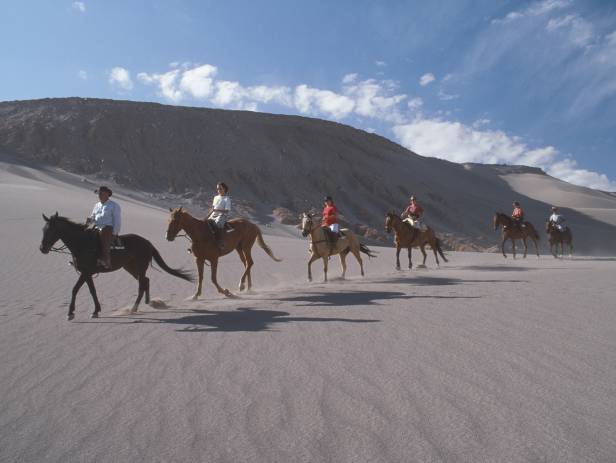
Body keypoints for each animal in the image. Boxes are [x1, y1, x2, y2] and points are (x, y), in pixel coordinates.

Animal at [39, 213, 192, 320]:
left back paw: (134, 308)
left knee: (142, 284)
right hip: (130, 268)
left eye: (51, 231)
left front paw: (71, 313)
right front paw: (95, 310)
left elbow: (75, 289)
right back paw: (148, 303)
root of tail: (148, 243)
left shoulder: (85, 272)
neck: (82, 244)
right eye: (43, 230)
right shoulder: (87, 273)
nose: (42, 249)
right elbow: (92, 290)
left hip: (140, 267)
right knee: (145, 281)